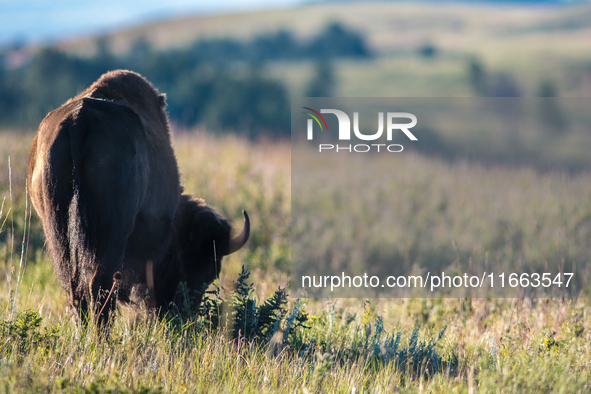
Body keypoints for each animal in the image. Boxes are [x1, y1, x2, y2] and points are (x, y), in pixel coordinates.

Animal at [27, 69, 250, 328]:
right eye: (206, 270)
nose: (184, 314)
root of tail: (79, 120)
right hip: (114, 229)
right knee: (100, 284)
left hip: (57, 227)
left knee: (75, 287)